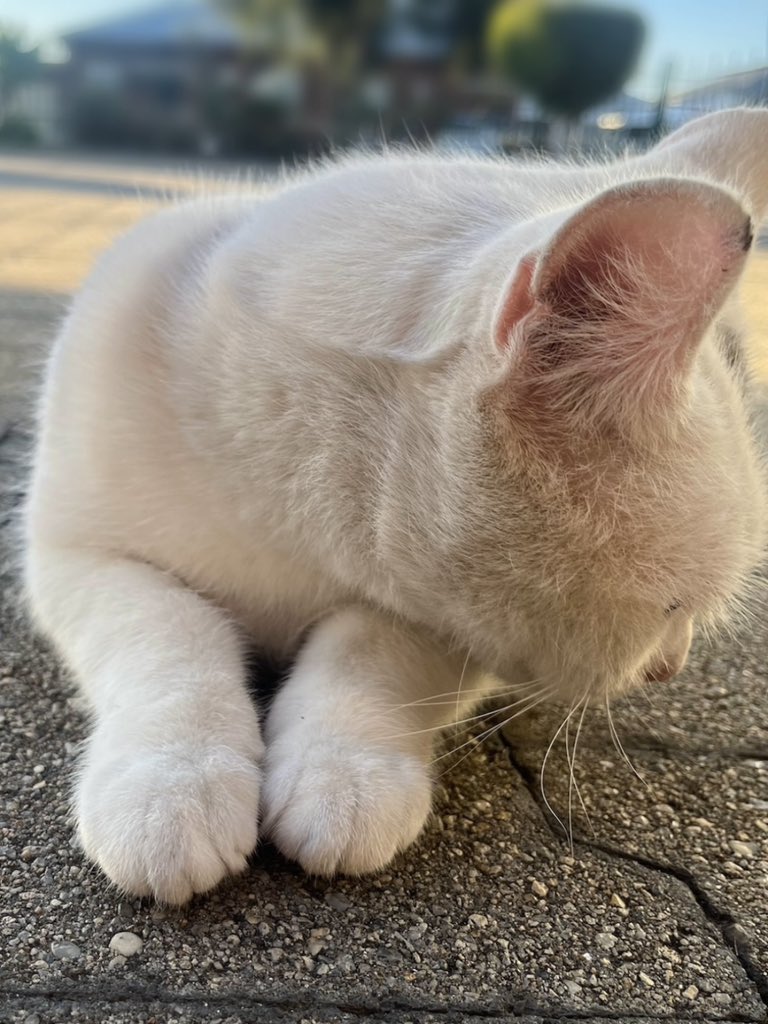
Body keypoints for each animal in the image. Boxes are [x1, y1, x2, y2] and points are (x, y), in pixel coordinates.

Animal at [24, 108, 768, 901]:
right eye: (672, 608)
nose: (670, 667)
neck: (294, 529)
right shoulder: (70, 555)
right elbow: (168, 632)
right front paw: (171, 783)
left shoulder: (459, 629)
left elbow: (376, 647)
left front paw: (343, 776)